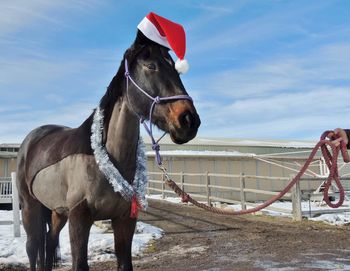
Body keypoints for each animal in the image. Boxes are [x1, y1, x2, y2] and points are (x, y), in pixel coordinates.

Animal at [16, 29, 201, 271]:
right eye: (151, 66)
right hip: (31, 207)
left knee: (49, 243)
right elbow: (79, 264)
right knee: (33, 246)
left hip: (57, 211)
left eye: (175, 69)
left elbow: (124, 263)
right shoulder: (79, 218)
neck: (105, 161)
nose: (189, 120)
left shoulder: (124, 219)